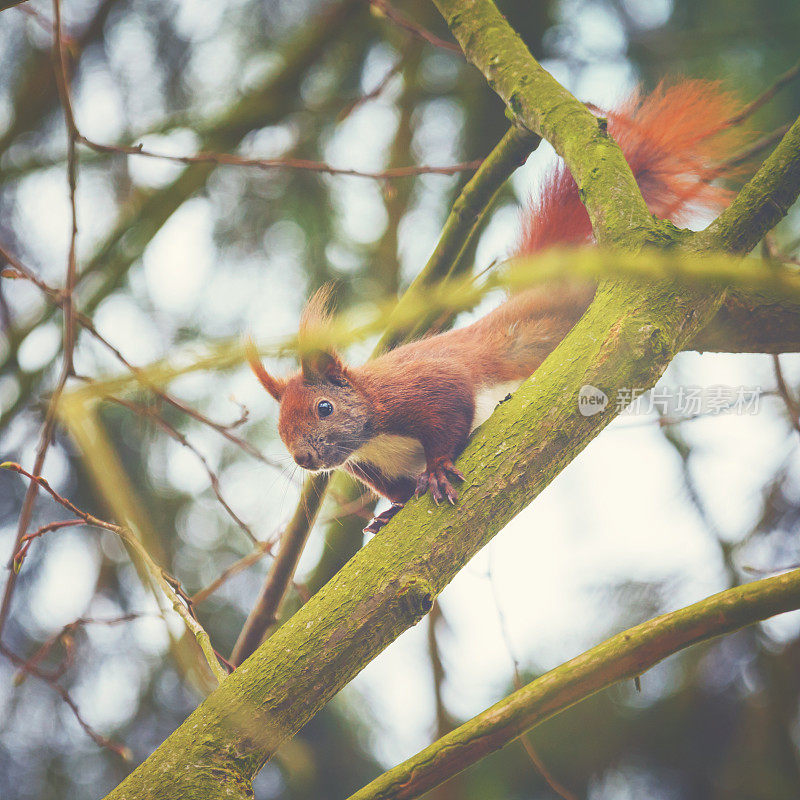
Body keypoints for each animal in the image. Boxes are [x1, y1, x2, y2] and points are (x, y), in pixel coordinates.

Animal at [248, 81, 744, 536]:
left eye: (324, 408)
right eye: (280, 427)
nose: (304, 458)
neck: (373, 435)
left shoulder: (419, 387)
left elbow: (450, 407)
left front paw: (438, 469)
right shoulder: (371, 467)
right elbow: (398, 491)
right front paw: (391, 512)